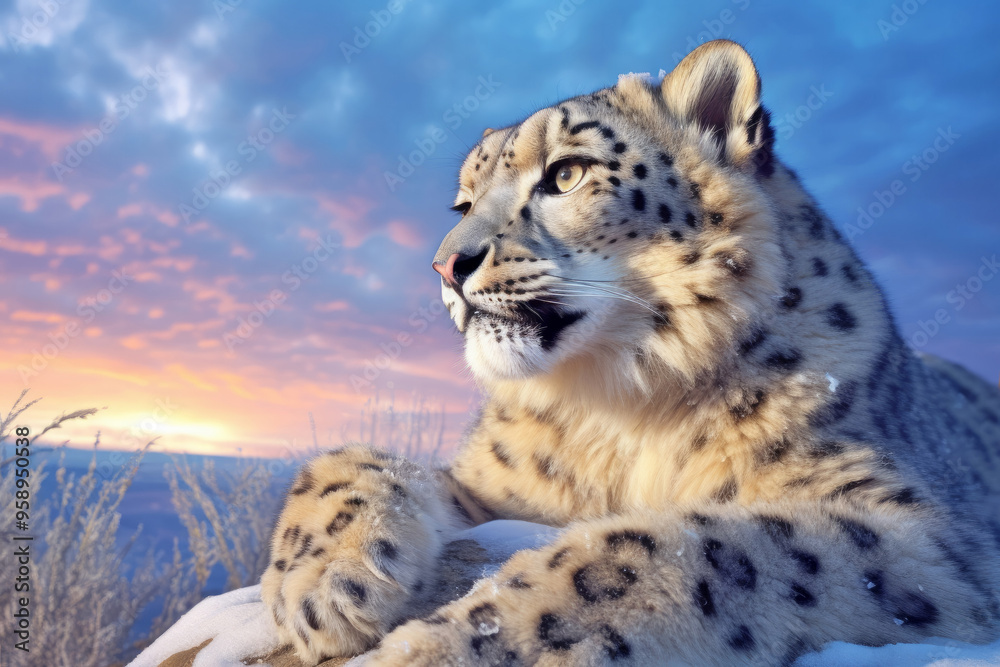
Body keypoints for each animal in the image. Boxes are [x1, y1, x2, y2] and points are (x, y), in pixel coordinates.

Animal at [260, 40, 1000, 666]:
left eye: (566, 173)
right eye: (462, 202)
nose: (445, 266)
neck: (615, 409)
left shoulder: (924, 535)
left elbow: (686, 548)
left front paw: (450, 646)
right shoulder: (498, 490)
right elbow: (349, 459)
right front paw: (320, 586)